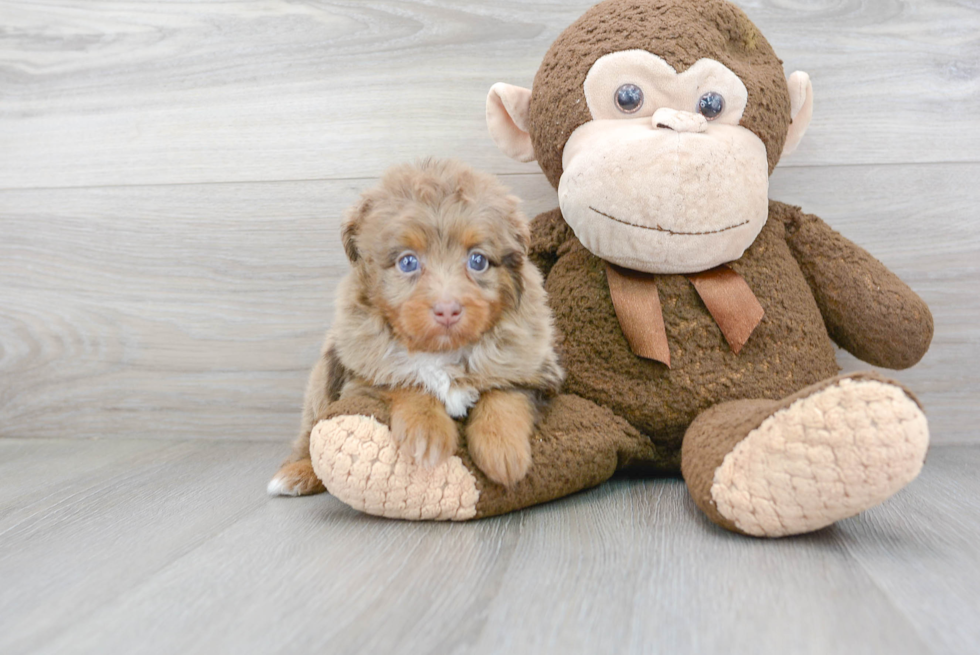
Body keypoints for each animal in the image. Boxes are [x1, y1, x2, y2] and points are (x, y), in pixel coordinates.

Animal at [270, 160, 568, 498]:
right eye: (408, 262)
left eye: (477, 260)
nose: (447, 309)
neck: (442, 352)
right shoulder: (364, 374)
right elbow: (408, 383)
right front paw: (427, 434)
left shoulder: (534, 368)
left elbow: (504, 394)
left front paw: (502, 449)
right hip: (324, 375)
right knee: (309, 432)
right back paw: (297, 472)